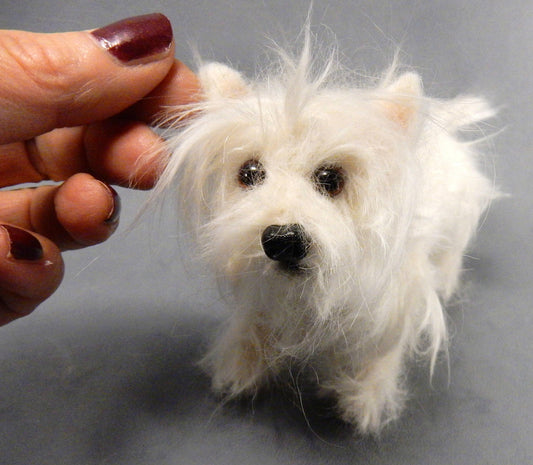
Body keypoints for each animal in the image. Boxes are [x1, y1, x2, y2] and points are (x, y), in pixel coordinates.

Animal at [152, 38, 496, 434]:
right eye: (249, 172)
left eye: (331, 178)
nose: (281, 239)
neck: (306, 292)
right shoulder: (261, 292)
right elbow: (252, 325)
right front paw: (239, 368)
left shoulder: (394, 304)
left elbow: (382, 353)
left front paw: (365, 399)